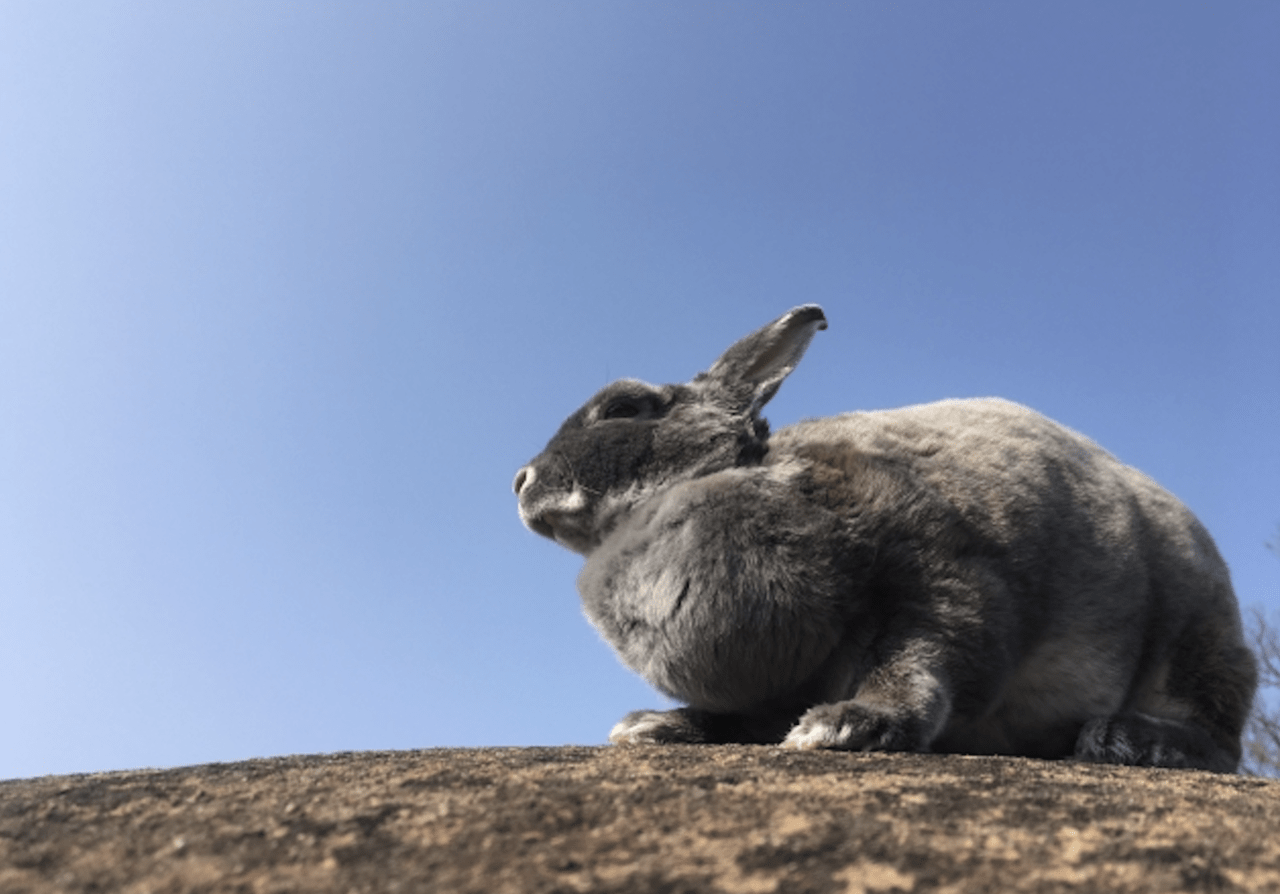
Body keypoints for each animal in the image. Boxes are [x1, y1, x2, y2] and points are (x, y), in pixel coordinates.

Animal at [514, 303, 1254, 768]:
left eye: (624, 407)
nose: (520, 481)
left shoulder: (944, 576)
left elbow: (922, 661)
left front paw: (848, 724)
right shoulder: (779, 679)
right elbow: (749, 721)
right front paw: (656, 727)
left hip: (1197, 642)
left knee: (1219, 740)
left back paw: (1127, 740)